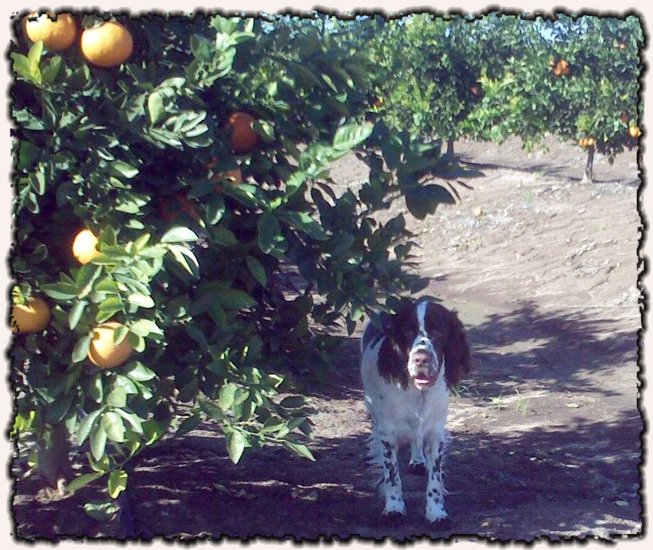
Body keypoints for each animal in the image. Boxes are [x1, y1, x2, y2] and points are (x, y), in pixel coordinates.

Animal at [360, 299, 471, 525]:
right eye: (408, 332)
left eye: (438, 331)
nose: (421, 359)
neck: (418, 392)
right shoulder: (387, 433)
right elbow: (392, 475)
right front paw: (394, 508)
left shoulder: (436, 432)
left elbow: (435, 478)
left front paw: (437, 512)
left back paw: (418, 460)